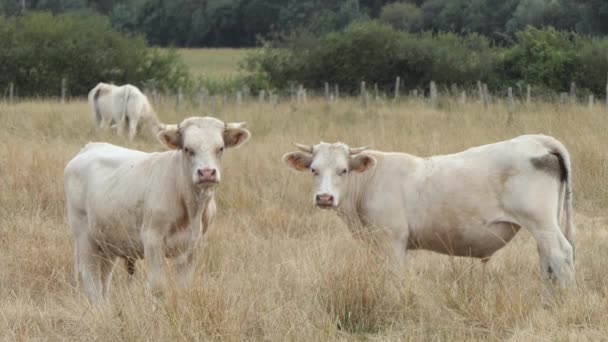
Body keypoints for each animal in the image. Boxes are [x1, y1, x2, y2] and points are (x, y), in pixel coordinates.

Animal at [63, 117, 249, 302]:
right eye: (187, 149)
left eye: (220, 148)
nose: (207, 173)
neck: (192, 208)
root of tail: (90, 147)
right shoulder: (152, 239)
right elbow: (157, 288)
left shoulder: (194, 246)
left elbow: (184, 286)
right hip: (84, 236)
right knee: (91, 278)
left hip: (107, 240)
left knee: (104, 279)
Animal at [282, 135, 576, 298]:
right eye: (314, 170)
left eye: (343, 170)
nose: (324, 198)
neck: (369, 181)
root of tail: (538, 140)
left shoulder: (391, 241)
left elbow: (395, 278)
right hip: (544, 226)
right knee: (547, 261)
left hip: (541, 222)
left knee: (560, 255)